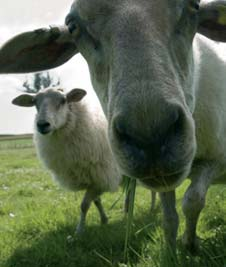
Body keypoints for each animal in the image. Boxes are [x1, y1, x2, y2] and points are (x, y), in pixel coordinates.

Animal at [11, 87, 122, 232]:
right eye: (35, 102)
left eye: (63, 100)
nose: (42, 124)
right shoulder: (94, 180)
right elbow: (97, 201)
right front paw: (104, 220)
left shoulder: (103, 175)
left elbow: (84, 205)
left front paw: (79, 230)